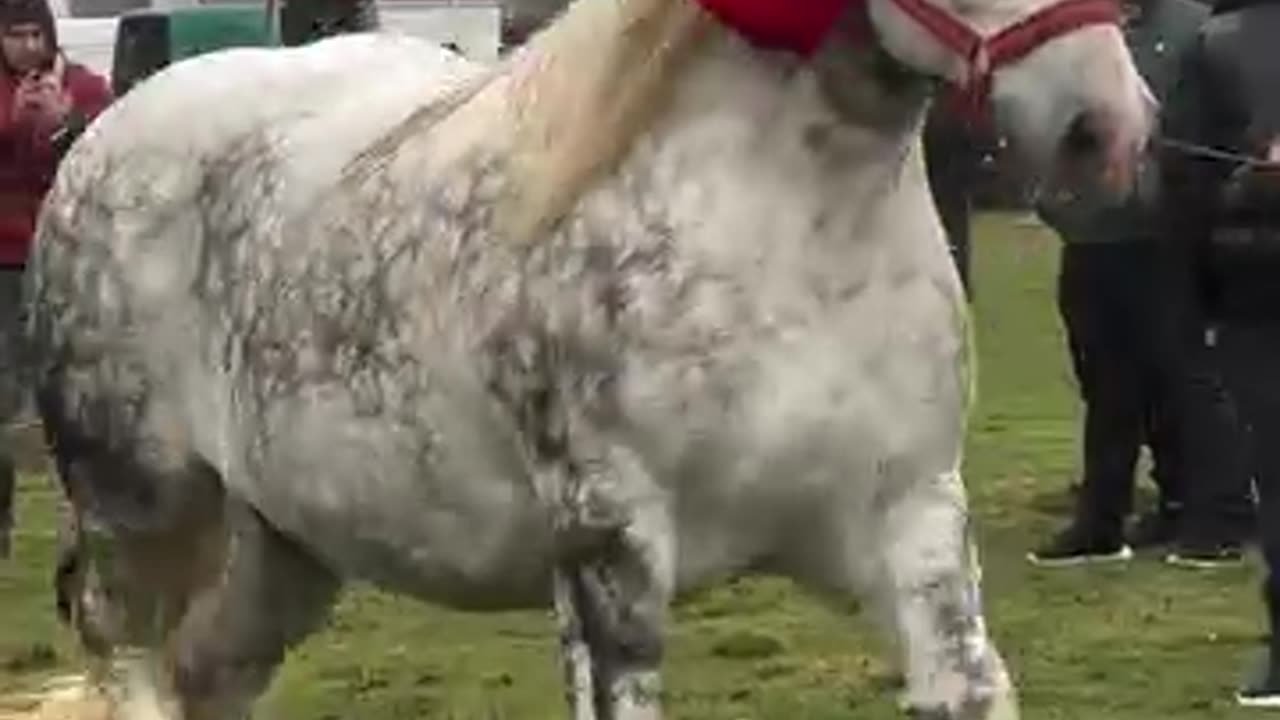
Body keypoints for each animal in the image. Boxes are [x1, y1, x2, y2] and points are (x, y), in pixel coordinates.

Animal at [24, 0, 1152, 716]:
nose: (1102, 128)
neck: (785, 228)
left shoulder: (910, 526)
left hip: (281, 550)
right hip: (139, 511)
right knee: (124, 655)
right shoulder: (612, 549)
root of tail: (103, 136)